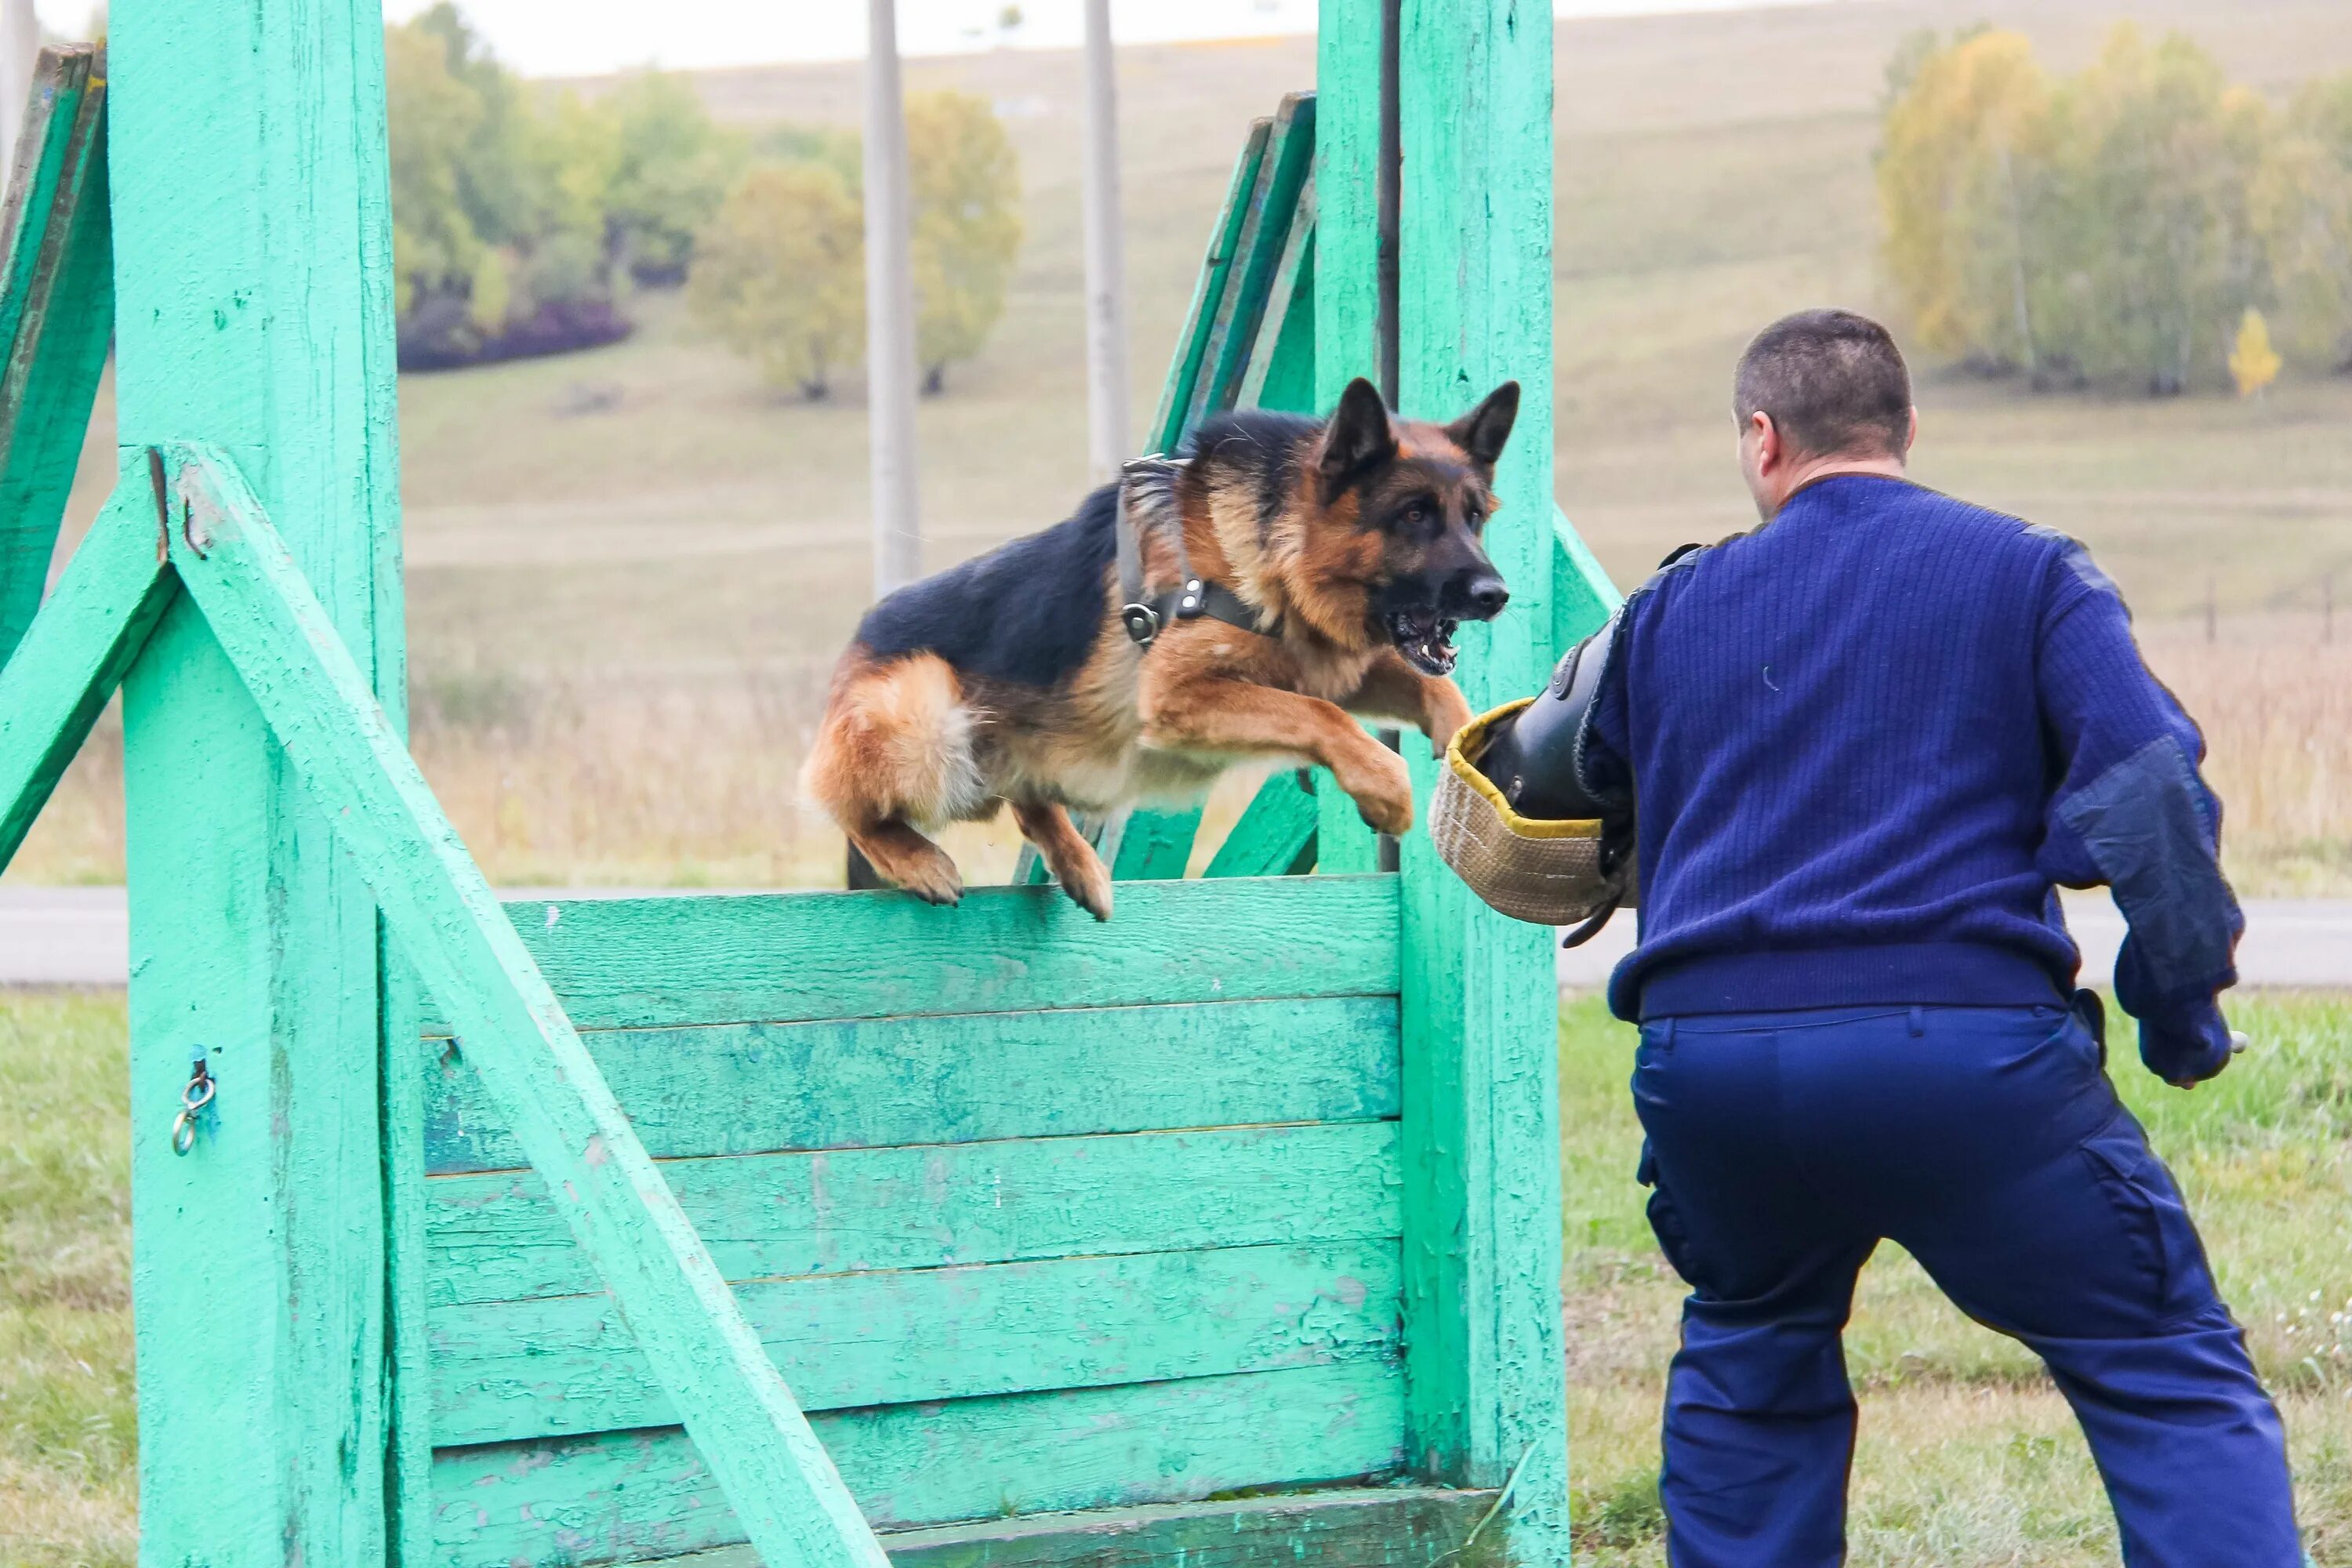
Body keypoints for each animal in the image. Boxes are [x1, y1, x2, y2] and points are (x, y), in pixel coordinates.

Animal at [809, 380, 1524, 921]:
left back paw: (1079, 864)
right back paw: (917, 860)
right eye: (1413, 515)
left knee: (1028, 799)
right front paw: (1388, 791)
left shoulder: (1337, 666)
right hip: (925, 711)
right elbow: (1324, 717)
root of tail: (853, 651)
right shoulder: (1183, 697)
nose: (1496, 595)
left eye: (1473, 517)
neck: (1277, 546)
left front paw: (1467, 751)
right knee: (845, 807)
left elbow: (1431, 687)